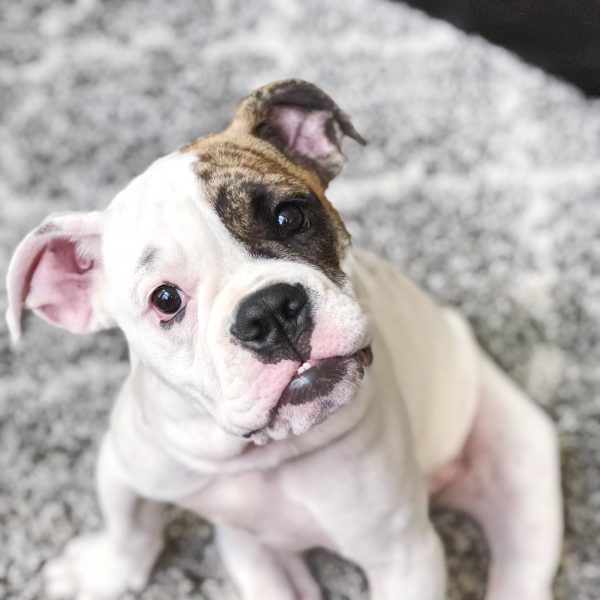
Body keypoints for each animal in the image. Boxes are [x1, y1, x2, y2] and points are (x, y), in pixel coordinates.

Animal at [5, 79, 564, 600]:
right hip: (251, 553)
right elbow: (129, 525)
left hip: (524, 467)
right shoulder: (126, 464)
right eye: (166, 299)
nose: (269, 311)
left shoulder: (405, 556)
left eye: (289, 216)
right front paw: (104, 571)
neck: (263, 455)